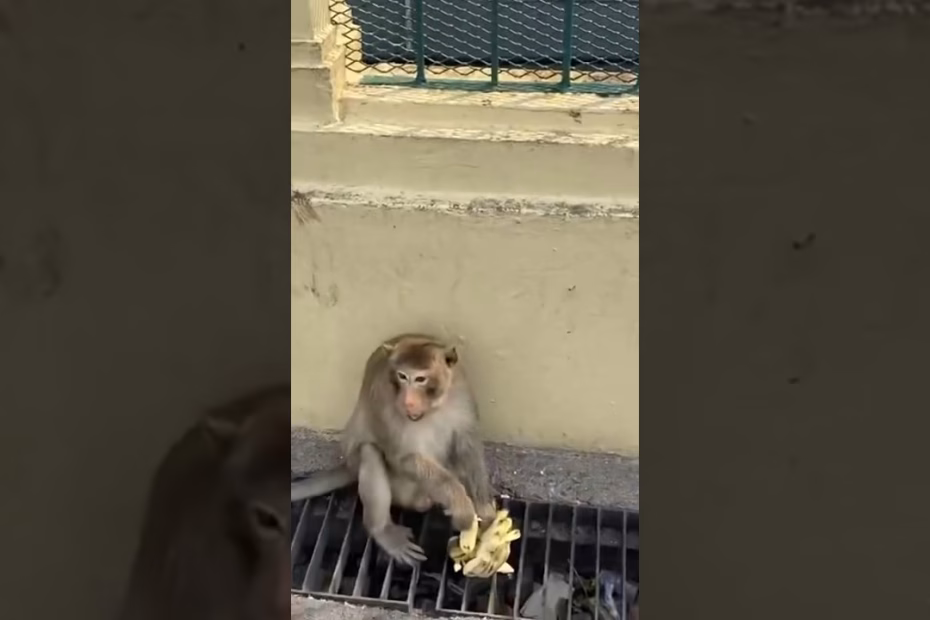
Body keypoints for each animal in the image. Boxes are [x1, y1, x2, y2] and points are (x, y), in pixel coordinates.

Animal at [290, 333, 497, 566]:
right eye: (402, 376)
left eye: (420, 379)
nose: (408, 401)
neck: (432, 408)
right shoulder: (385, 401)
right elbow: (402, 456)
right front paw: (460, 504)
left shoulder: (462, 393)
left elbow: (467, 444)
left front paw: (484, 508)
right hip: (401, 491)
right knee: (370, 452)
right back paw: (383, 530)